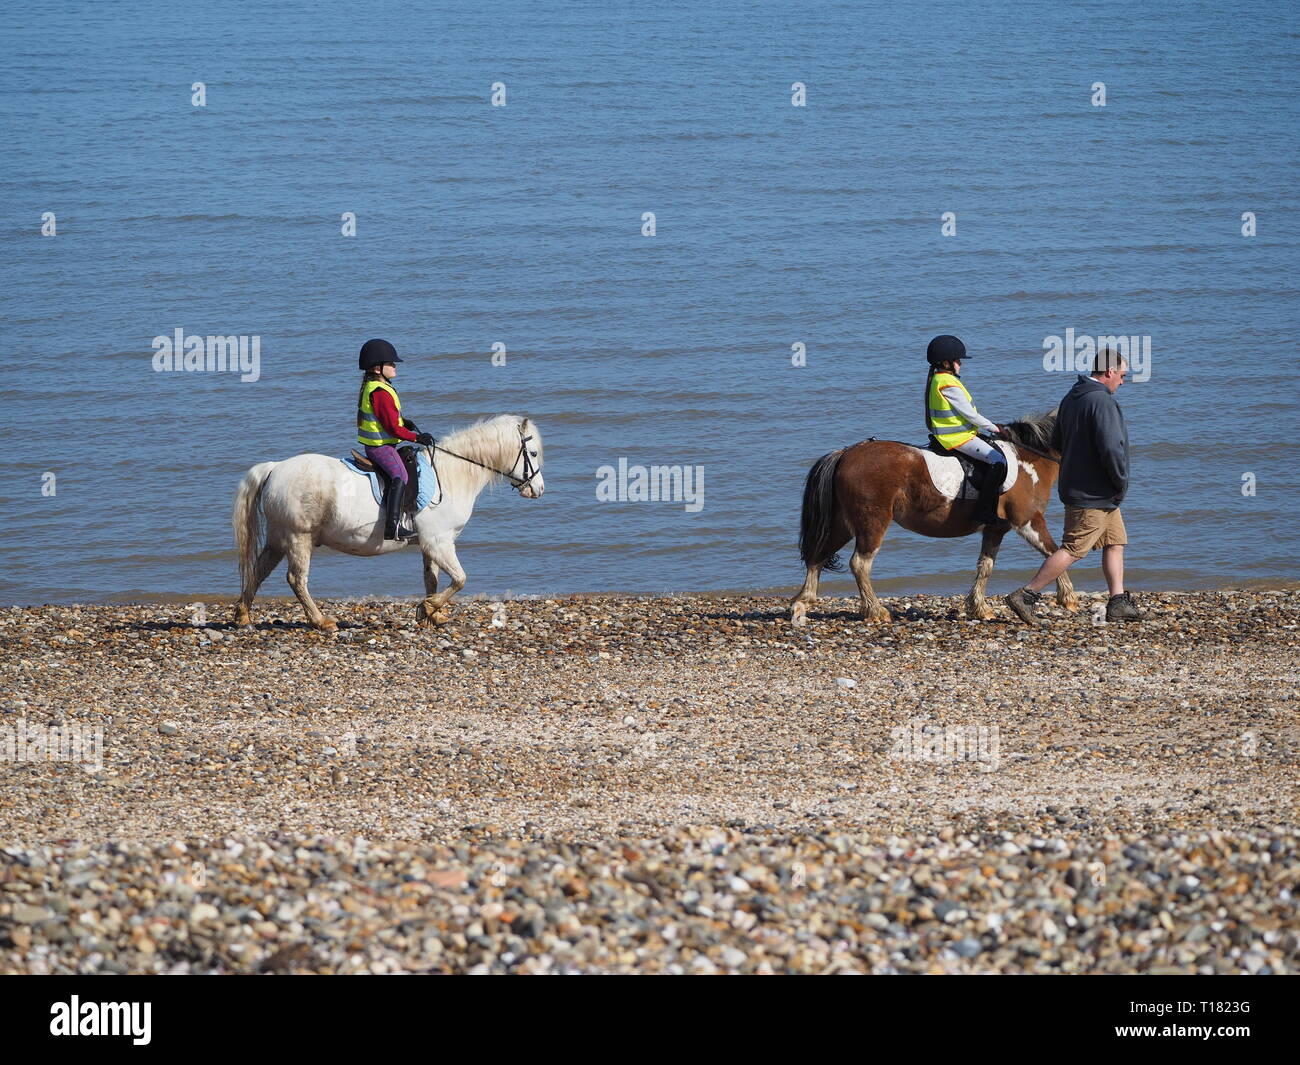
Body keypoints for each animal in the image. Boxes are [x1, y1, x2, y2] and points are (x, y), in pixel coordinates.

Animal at [231, 413, 540, 631]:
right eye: (534, 453)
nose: (538, 490)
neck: (452, 474)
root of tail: (275, 469)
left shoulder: (431, 543)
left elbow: (432, 578)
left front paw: (434, 615)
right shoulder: (439, 541)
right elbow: (460, 579)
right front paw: (427, 608)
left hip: (278, 538)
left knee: (258, 570)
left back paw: (243, 615)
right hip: (299, 537)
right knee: (296, 579)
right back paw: (322, 621)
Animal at [790, 410, 1076, 624]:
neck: (1028, 460)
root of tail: (847, 453)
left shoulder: (996, 529)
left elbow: (985, 566)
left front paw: (979, 608)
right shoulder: (1027, 520)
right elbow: (1054, 552)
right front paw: (1068, 598)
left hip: (843, 523)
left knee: (819, 554)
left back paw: (803, 601)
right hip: (872, 523)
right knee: (859, 564)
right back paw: (876, 611)